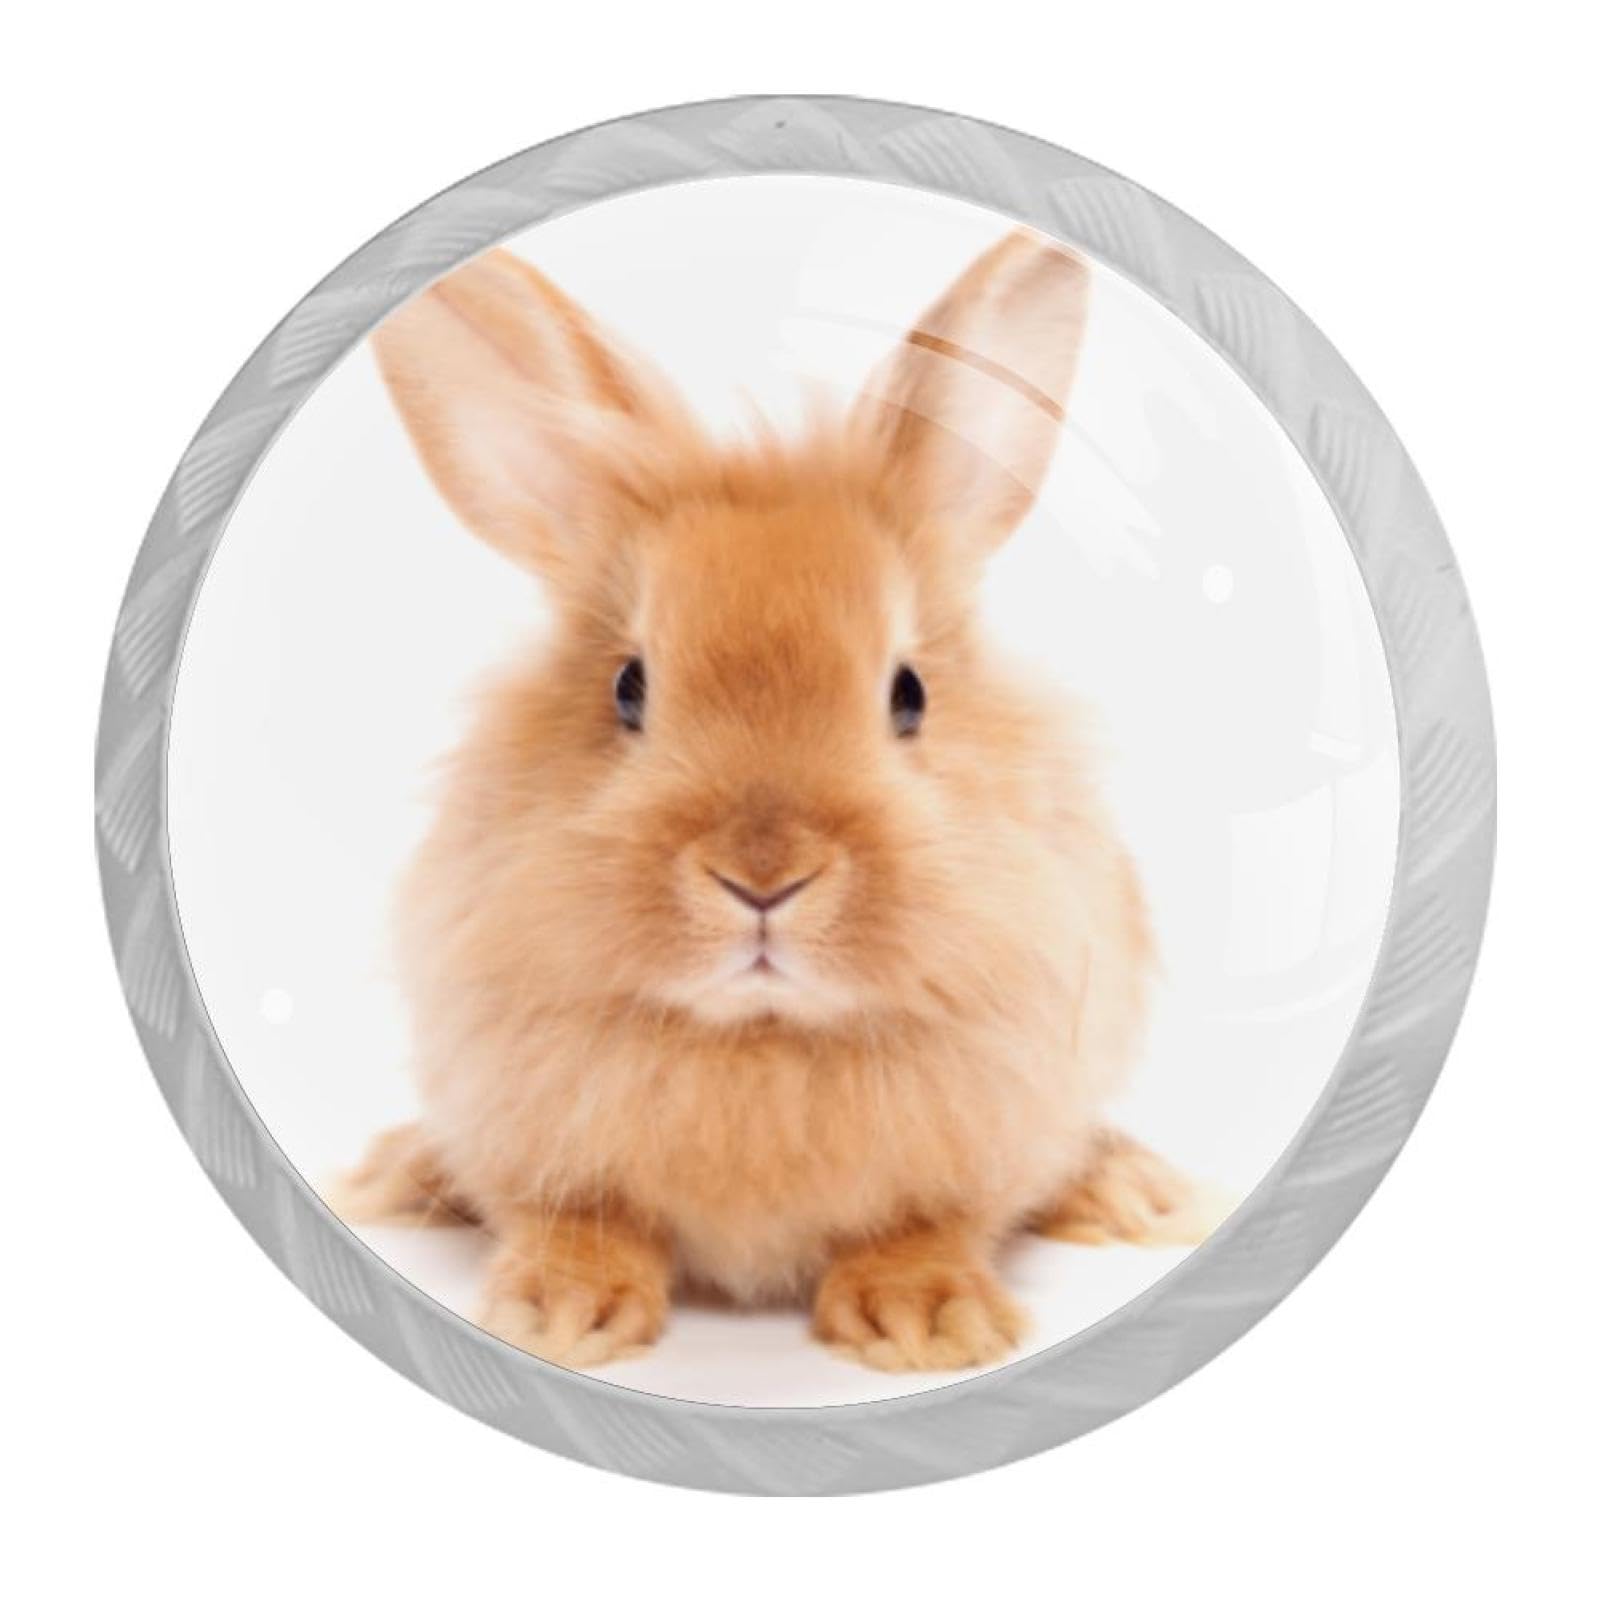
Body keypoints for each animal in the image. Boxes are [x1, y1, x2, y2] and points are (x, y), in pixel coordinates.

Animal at [334, 228, 1217, 1373]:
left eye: (908, 693)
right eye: (628, 686)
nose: (763, 875)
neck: (760, 1040)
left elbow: (930, 1221)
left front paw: (927, 1322)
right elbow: (574, 1218)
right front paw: (558, 1314)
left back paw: (1134, 1191)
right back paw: (397, 1174)